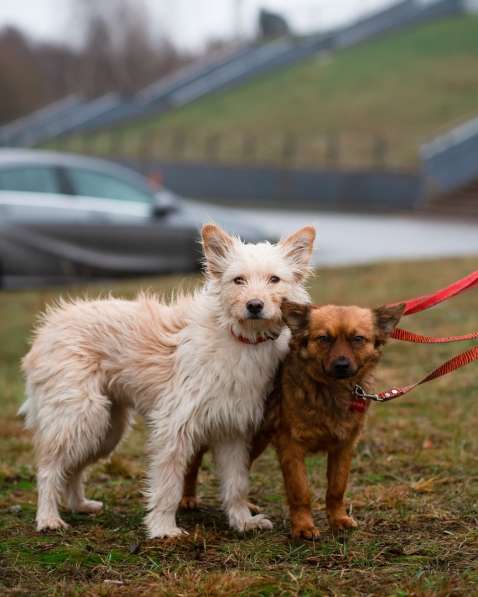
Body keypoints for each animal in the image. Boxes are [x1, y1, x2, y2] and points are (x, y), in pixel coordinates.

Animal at [20, 222, 316, 536]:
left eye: (274, 279)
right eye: (238, 280)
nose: (254, 305)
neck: (239, 337)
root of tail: (49, 326)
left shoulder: (232, 431)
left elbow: (237, 484)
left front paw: (242, 521)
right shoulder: (175, 426)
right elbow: (168, 485)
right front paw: (163, 528)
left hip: (106, 430)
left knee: (75, 468)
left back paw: (80, 505)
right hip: (80, 416)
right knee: (49, 468)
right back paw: (48, 518)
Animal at [181, 300, 402, 536]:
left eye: (358, 339)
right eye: (324, 338)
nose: (341, 365)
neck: (331, 390)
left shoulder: (343, 447)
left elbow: (337, 488)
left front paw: (338, 519)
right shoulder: (291, 446)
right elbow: (300, 490)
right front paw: (303, 526)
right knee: (192, 465)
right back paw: (187, 498)